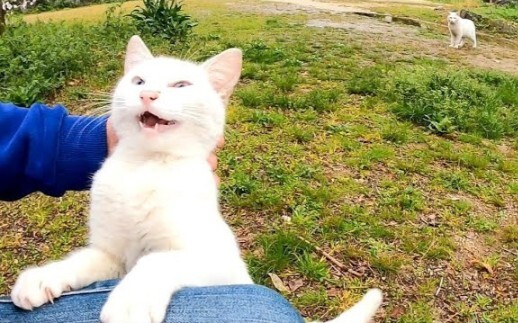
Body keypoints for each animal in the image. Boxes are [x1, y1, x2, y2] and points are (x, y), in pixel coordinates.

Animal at [10, 35, 384, 323]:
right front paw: (43, 276)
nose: (148, 95)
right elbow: (81, 260)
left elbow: (156, 259)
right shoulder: (112, 255)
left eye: (181, 85)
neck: (147, 166)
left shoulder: (219, 264)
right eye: (139, 81)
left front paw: (130, 301)